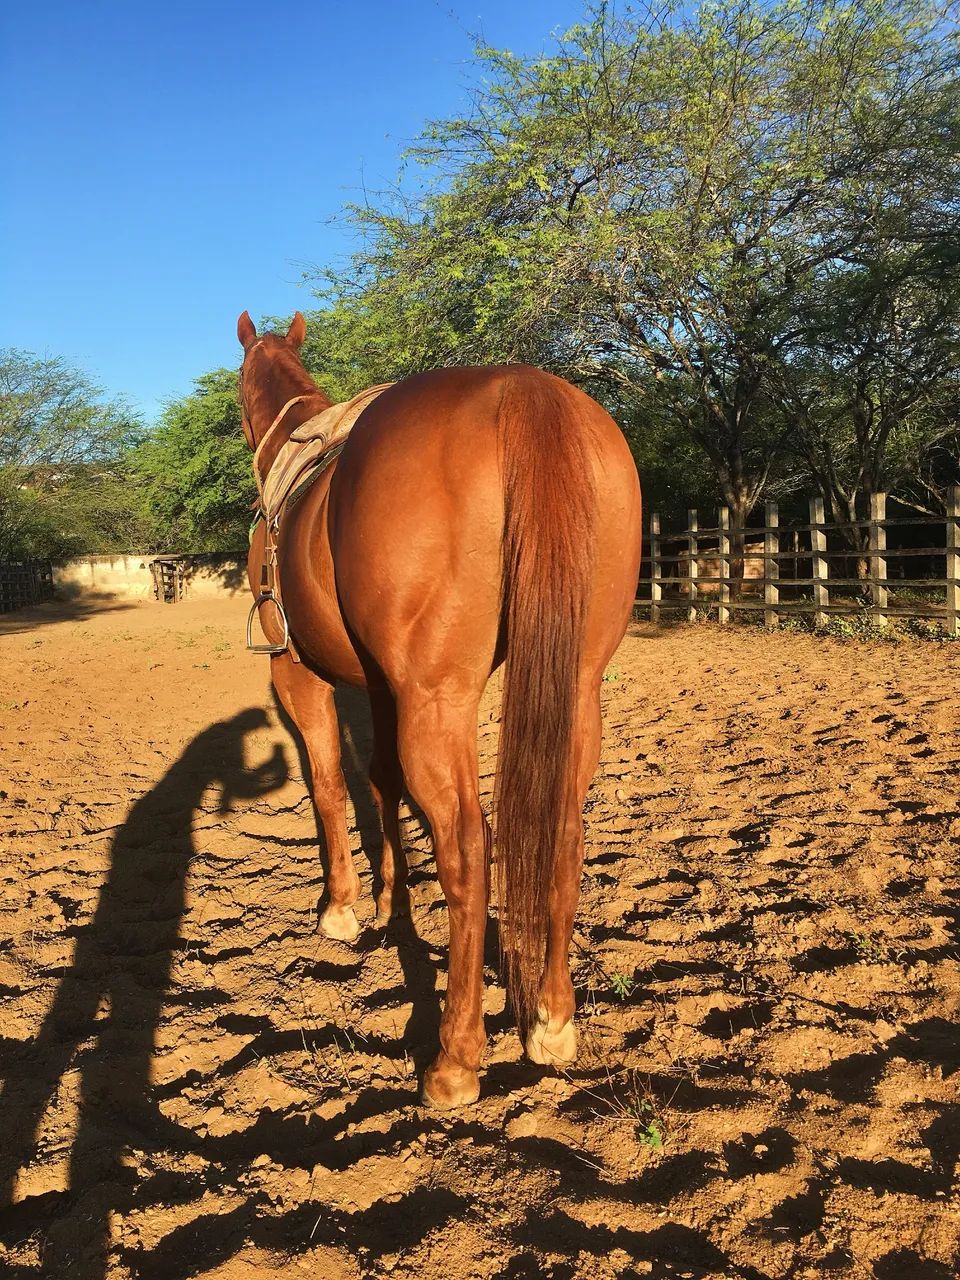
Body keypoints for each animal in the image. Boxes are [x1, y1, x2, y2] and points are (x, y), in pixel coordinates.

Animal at [238, 310, 641, 1108]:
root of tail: (526, 392)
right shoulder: (380, 685)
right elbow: (381, 781)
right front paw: (391, 898)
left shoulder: (300, 675)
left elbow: (330, 784)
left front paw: (342, 907)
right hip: (578, 689)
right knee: (563, 835)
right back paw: (551, 1022)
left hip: (438, 698)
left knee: (466, 848)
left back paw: (455, 1060)